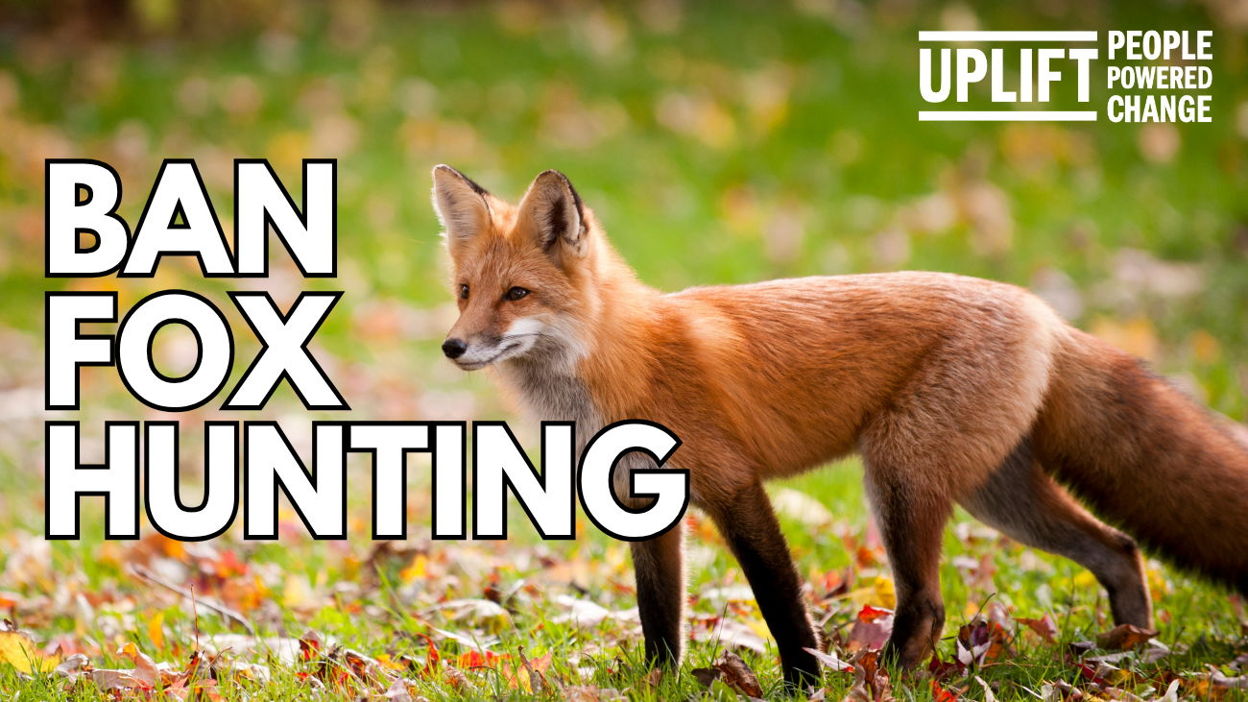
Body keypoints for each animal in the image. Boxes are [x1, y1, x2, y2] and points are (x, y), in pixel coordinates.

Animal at [430, 164, 1248, 689]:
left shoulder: (733, 484)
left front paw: (802, 681)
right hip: (994, 495)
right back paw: (1128, 650)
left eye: (517, 294)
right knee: (1119, 548)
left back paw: (883, 678)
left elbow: (779, 598)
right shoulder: (643, 505)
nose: (453, 347)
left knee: (929, 605)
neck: (617, 364)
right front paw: (660, 683)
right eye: (466, 292)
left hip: (898, 478)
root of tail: (1042, 311)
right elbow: (658, 612)